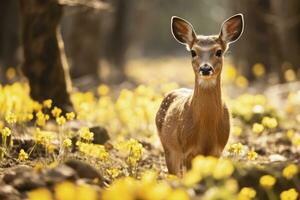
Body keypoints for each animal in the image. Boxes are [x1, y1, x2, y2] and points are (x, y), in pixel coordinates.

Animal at [156, 13, 245, 175]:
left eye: (219, 52)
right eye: (193, 52)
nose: (205, 68)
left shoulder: (217, 151)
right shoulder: (187, 150)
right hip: (168, 147)